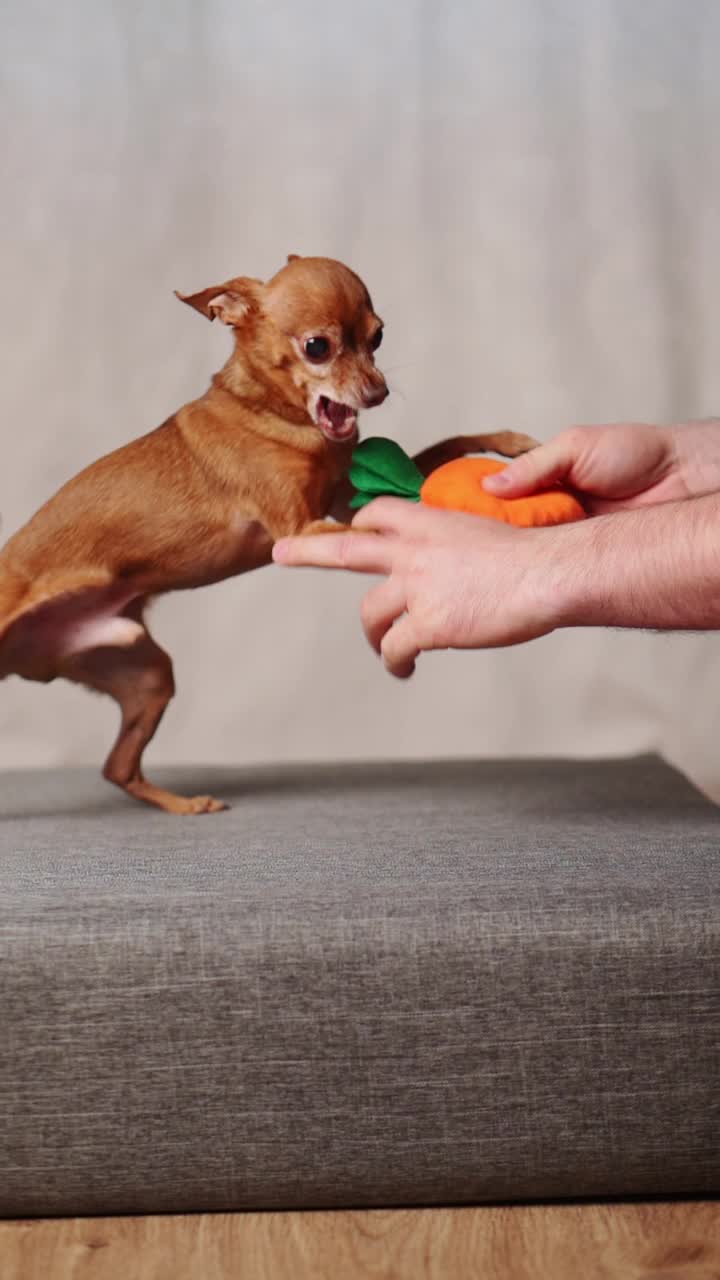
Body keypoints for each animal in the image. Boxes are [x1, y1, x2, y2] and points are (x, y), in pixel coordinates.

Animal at [0, 254, 532, 814]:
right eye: (317, 346)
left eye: (379, 336)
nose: (378, 392)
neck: (274, 415)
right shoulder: (301, 529)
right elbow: (390, 520)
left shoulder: (342, 505)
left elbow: (446, 448)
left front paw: (508, 444)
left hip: (147, 678)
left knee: (117, 768)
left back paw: (185, 805)